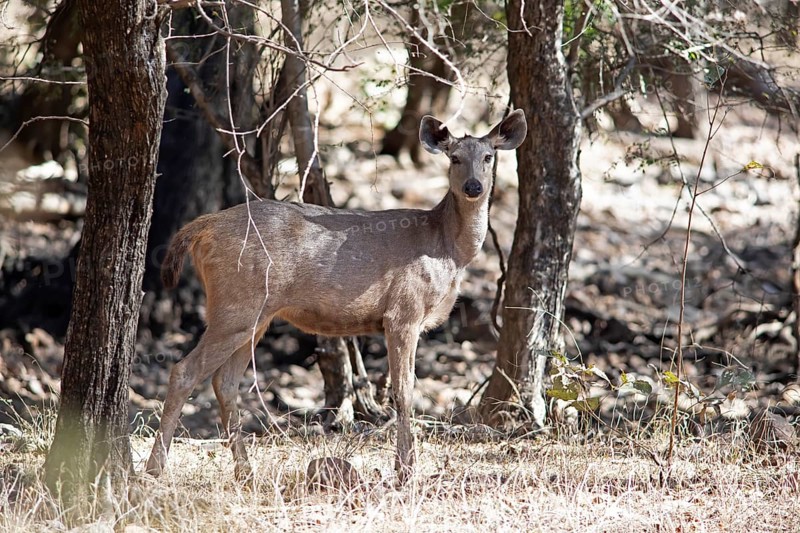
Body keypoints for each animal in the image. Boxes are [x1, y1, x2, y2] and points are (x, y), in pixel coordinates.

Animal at [144, 109, 527, 481]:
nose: (474, 186)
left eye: (489, 157)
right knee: (184, 371)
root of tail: (202, 228)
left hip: (255, 314)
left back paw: (245, 472)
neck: (448, 250)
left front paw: (406, 468)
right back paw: (154, 470)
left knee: (224, 381)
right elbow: (404, 391)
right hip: (236, 304)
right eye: (454, 157)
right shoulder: (403, 311)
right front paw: (406, 471)